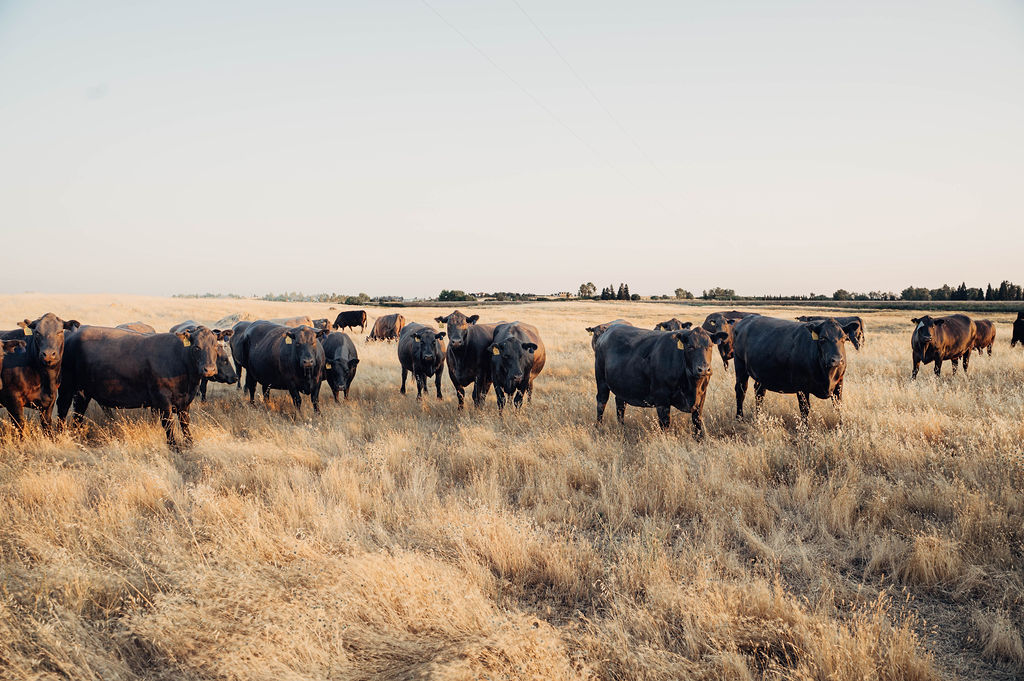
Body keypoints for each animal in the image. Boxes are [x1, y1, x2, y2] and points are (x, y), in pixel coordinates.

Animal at [56, 325, 220, 448]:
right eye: (196, 347)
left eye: (216, 346)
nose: (209, 369)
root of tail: (71, 334)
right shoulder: (162, 399)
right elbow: (169, 425)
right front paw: (175, 447)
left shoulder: (185, 401)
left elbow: (185, 423)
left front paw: (190, 444)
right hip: (66, 386)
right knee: (63, 409)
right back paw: (60, 436)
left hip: (83, 392)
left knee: (78, 414)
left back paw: (76, 438)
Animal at [593, 325, 728, 438]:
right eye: (690, 347)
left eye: (710, 346)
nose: (703, 369)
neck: (692, 386)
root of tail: (608, 330)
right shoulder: (661, 399)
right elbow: (665, 424)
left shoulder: (701, 398)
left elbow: (697, 422)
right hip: (601, 381)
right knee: (601, 402)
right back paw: (598, 427)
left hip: (621, 386)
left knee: (620, 404)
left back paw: (622, 427)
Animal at [732, 316, 861, 423]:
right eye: (822, 338)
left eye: (844, 338)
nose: (837, 360)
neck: (827, 374)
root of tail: (746, 319)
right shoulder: (801, 387)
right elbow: (805, 410)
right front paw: (807, 434)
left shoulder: (839, 383)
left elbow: (838, 407)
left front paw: (841, 429)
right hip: (740, 366)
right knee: (741, 390)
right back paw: (739, 418)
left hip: (761, 375)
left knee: (759, 393)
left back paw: (759, 417)